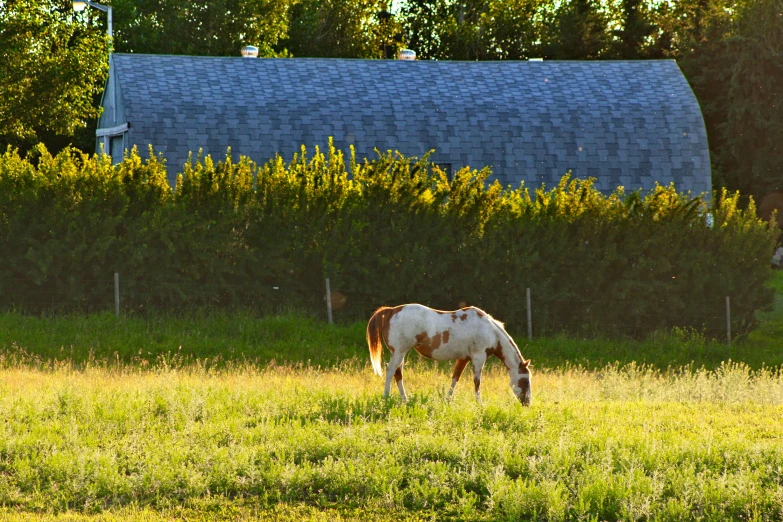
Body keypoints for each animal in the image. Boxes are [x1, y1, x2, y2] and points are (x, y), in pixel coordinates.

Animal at [368, 302, 532, 404]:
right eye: (525, 381)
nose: (528, 402)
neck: (490, 331)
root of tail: (392, 310)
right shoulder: (478, 358)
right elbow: (477, 382)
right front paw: (480, 403)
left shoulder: (463, 359)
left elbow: (455, 378)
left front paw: (448, 399)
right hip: (399, 352)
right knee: (390, 370)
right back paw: (386, 397)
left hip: (400, 353)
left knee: (398, 373)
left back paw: (405, 399)